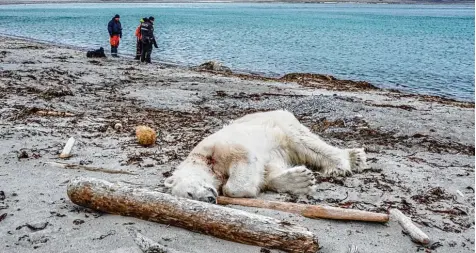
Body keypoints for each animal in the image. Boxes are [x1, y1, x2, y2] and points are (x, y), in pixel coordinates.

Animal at [165, 109, 368, 203]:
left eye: (189, 192)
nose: (209, 199)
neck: (204, 161)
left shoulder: (219, 146)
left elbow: (243, 160)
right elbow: (269, 172)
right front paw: (301, 180)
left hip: (282, 125)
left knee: (306, 143)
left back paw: (344, 163)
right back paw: (356, 157)